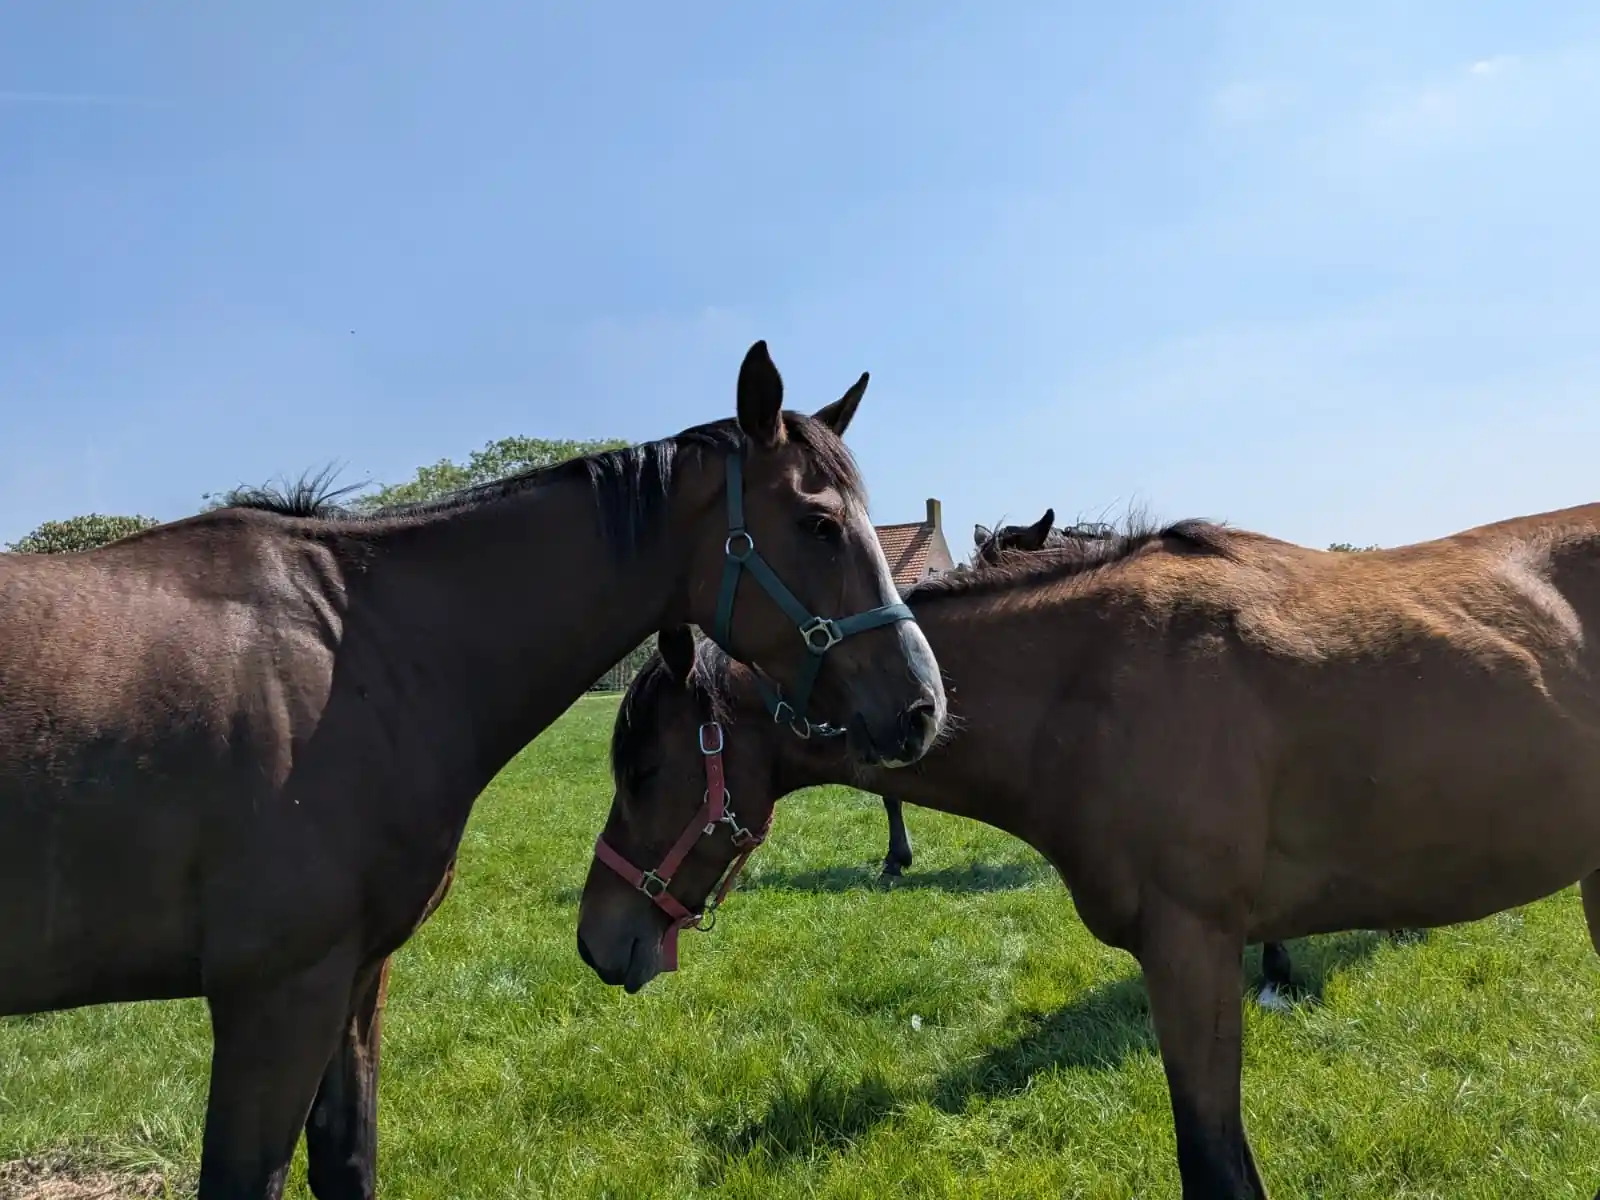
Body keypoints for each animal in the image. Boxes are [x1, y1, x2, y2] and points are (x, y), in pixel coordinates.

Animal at [0, 339, 948, 1200]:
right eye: (819, 524)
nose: (922, 705)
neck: (351, 655)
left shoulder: (352, 979)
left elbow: (348, 1161)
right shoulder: (273, 998)